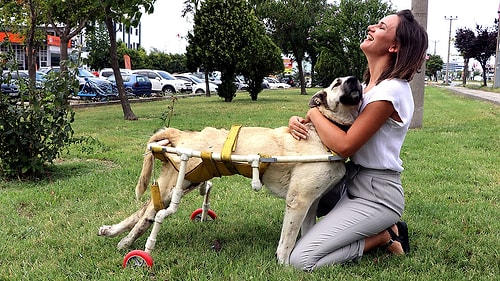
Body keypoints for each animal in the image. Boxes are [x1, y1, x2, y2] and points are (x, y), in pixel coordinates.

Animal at [98, 75, 364, 264]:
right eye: (337, 83)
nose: (355, 79)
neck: (323, 132)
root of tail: (180, 133)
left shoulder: (311, 202)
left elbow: (306, 235)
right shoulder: (298, 201)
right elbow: (287, 241)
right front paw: (285, 266)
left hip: (183, 182)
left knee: (144, 210)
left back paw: (112, 233)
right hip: (175, 184)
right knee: (149, 216)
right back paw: (130, 245)